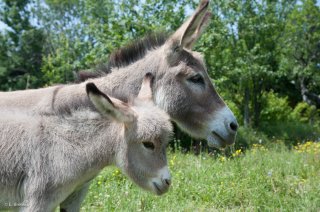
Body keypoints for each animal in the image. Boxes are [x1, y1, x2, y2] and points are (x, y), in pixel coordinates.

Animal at [0, 73, 172, 212]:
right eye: (148, 144)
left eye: (165, 143)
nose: (167, 182)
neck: (66, 148)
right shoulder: (37, 201)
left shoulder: (74, 198)